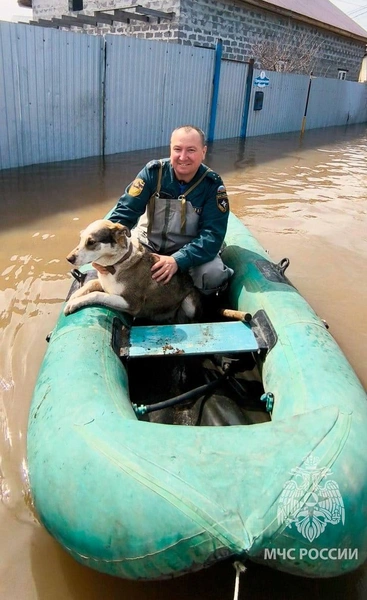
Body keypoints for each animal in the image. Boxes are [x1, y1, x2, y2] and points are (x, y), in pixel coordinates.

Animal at [63, 220, 201, 324]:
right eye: (81, 239)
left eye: (91, 242)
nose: (68, 258)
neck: (116, 264)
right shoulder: (104, 283)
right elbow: (90, 284)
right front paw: (75, 296)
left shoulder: (130, 303)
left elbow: (97, 294)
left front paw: (73, 303)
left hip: (189, 304)